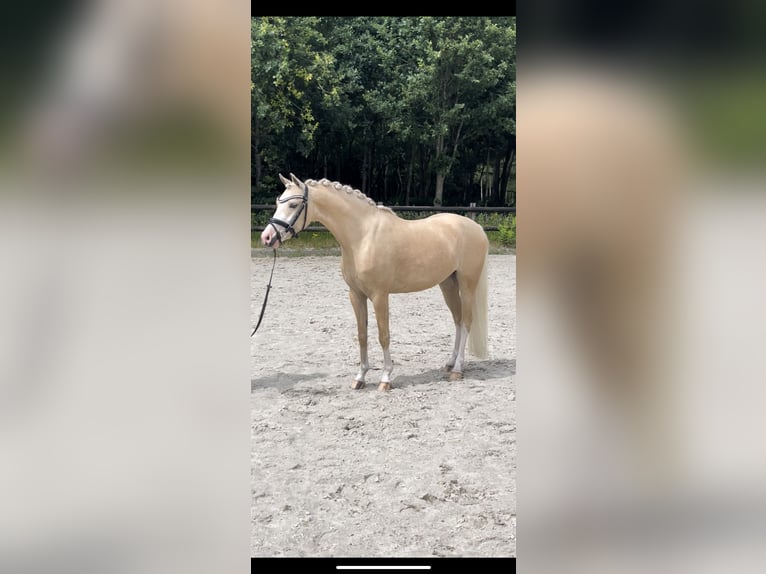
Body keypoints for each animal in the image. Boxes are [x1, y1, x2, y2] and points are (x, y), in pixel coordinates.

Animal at [260, 174, 488, 392]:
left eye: (293, 205)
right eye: (278, 202)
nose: (267, 237)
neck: (363, 237)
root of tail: (475, 227)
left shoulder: (380, 295)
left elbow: (383, 335)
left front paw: (386, 379)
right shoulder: (356, 295)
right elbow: (362, 335)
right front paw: (360, 378)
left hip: (467, 284)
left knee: (466, 322)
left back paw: (457, 369)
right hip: (447, 284)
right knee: (458, 320)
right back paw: (449, 363)